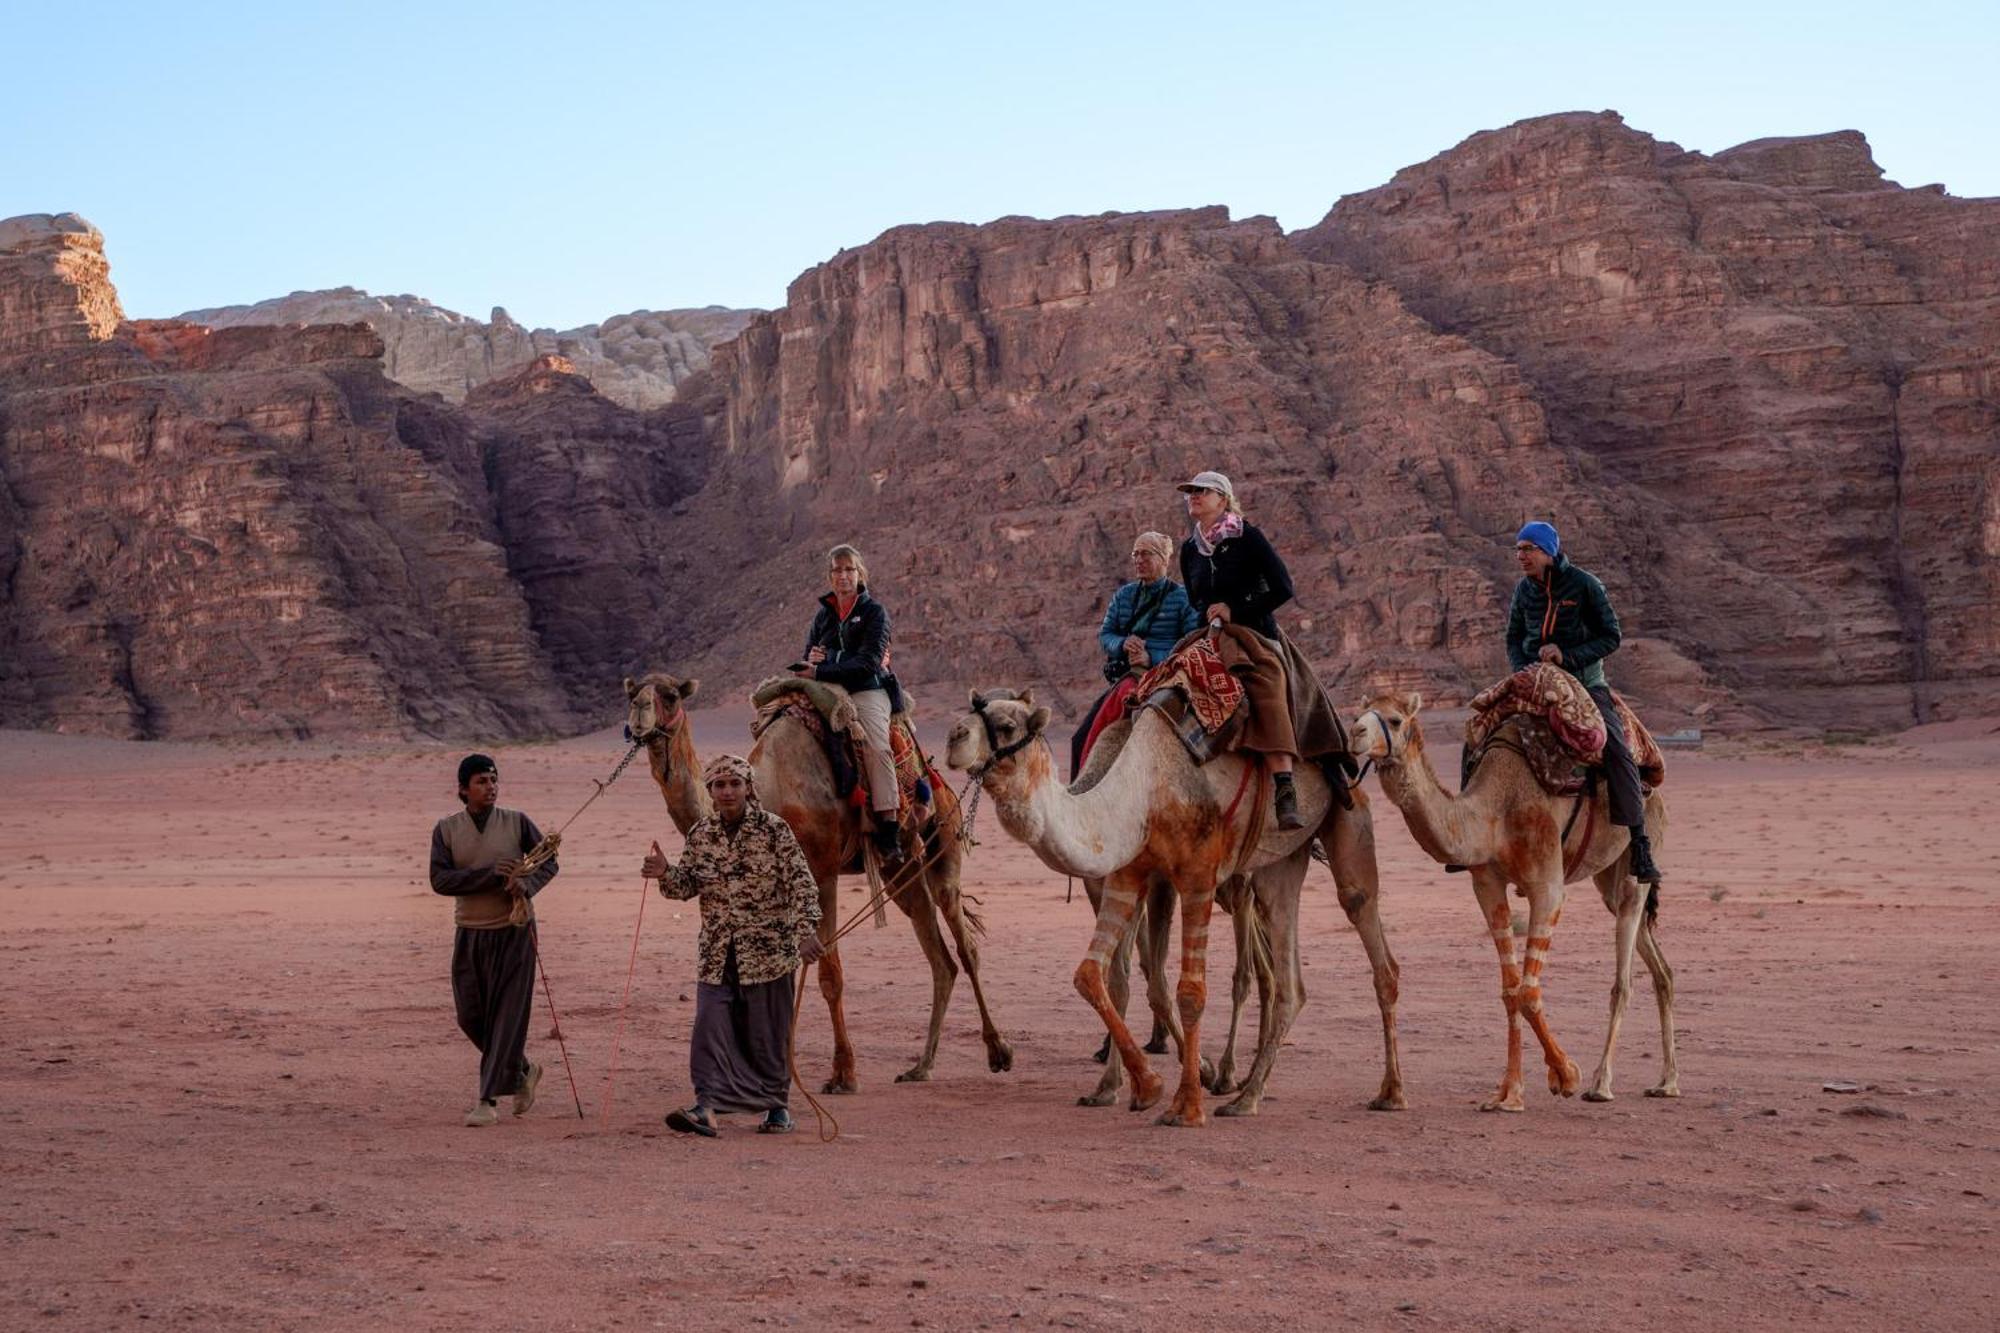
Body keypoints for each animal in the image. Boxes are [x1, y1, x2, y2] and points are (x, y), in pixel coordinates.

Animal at [624, 668, 1016, 1088]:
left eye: (670, 696)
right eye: (632, 693)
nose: (639, 712)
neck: (770, 789)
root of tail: (934, 774)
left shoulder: (824, 872)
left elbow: (831, 976)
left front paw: (843, 1072)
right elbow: (781, 971)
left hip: (943, 843)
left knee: (966, 947)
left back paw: (999, 1051)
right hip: (900, 871)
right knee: (940, 957)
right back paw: (921, 1067)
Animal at [944, 684, 1400, 1120]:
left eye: (1006, 726)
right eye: (973, 709)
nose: (953, 737)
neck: (1138, 785)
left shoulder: (1196, 875)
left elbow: (1189, 991)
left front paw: (1188, 1103)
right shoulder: (1128, 873)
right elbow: (1095, 975)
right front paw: (1138, 1088)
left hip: (1345, 812)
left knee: (1367, 928)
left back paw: (1389, 1093)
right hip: (1282, 860)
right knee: (1288, 974)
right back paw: (1247, 1097)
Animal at [1352, 688, 1680, 1104]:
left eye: (1395, 720)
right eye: (1360, 713)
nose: (1355, 733)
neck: (1495, 811)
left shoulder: (1548, 887)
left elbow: (1528, 991)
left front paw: (1566, 1076)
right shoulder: (1487, 885)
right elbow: (1510, 990)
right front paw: (1508, 1094)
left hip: (1641, 855)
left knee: (1624, 975)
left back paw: (1601, 1084)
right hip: (1607, 877)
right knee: (1661, 969)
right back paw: (1667, 1082)